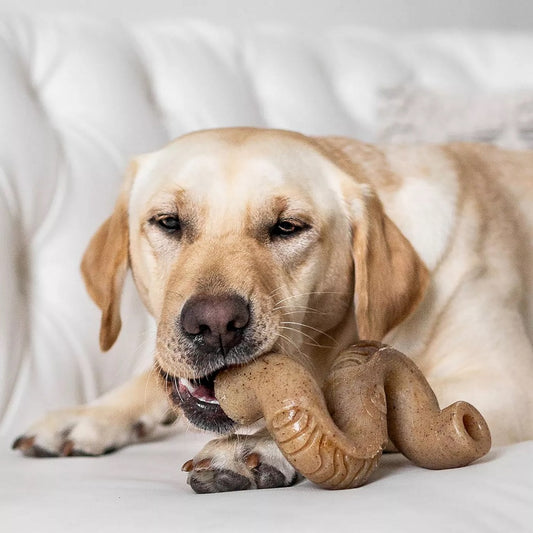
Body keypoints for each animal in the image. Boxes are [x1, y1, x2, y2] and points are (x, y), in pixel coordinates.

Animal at [11, 127, 532, 492]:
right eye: (168, 222)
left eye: (287, 227)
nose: (216, 324)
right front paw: (89, 414)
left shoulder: (507, 385)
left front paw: (255, 448)